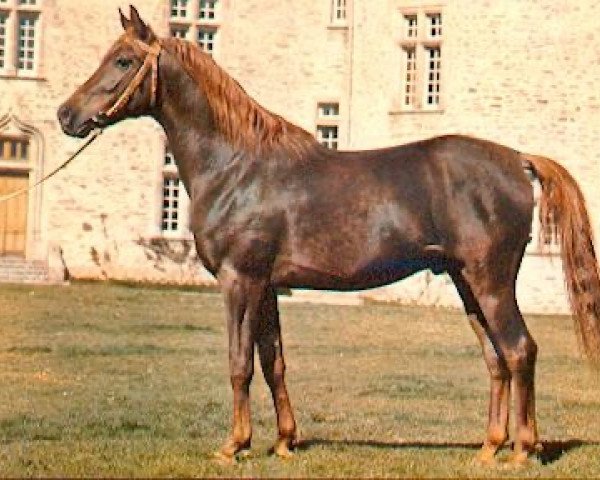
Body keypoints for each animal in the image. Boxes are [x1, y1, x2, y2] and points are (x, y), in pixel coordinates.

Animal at [57, 6, 600, 464]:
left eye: (123, 59)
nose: (66, 114)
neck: (237, 166)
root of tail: (516, 159)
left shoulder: (239, 281)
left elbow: (239, 363)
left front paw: (234, 445)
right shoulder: (268, 287)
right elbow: (273, 361)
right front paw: (283, 442)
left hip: (491, 284)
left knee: (519, 350)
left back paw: (523, 451)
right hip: (467, 284)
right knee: (495, 359)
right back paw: (489, 449)